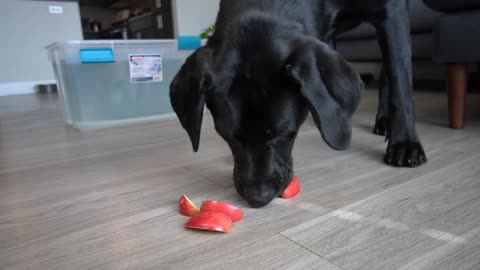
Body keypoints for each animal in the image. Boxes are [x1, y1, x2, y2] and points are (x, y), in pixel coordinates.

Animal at [170, 0, 428, 207]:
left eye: (286, 133)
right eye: (228, 136)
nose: (257, 198)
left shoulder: (392, 11)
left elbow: (401, 79)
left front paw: (405, 143)